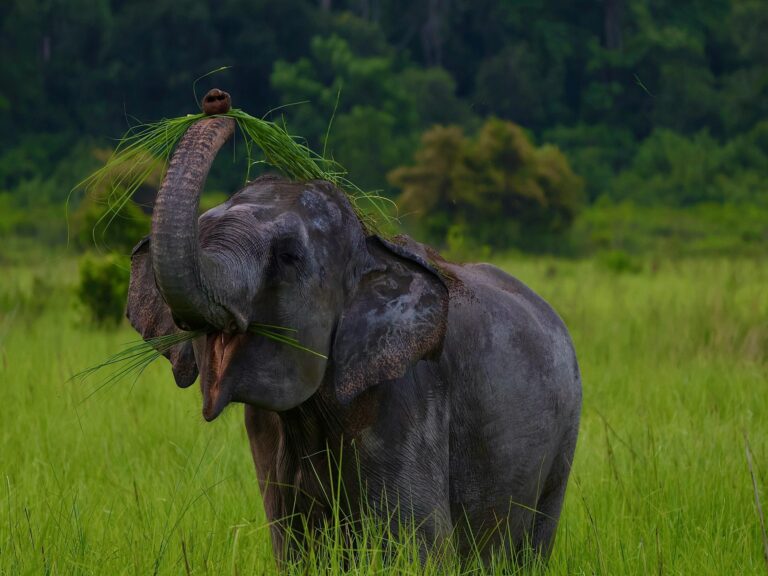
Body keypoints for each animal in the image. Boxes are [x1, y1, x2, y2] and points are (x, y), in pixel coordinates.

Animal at [126, 113, 582, 564]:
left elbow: (418, 545)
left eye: (288, 257)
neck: (370, 249)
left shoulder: (408, 399)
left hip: (563, 439)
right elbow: (295, 548)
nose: (217, 102)